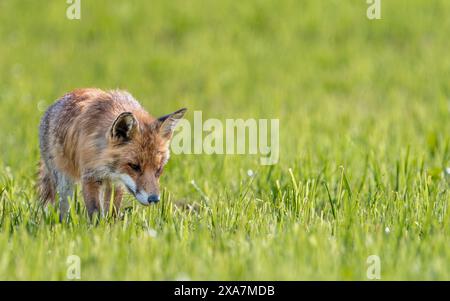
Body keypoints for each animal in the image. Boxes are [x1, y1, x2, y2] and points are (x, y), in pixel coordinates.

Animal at [38, 88, 186, 219]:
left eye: (159, 169)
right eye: (134, 166)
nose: (154, 199)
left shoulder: (117, 183)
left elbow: (112, 211)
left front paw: (112, 228)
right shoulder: (90, 176)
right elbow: (95, 211)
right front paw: (97, 230)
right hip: (64, 181)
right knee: (63, 207)